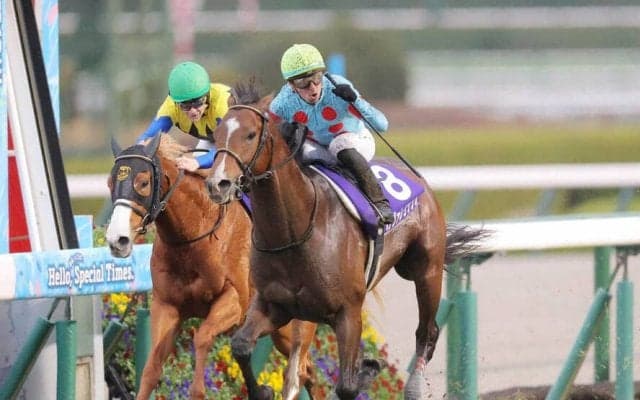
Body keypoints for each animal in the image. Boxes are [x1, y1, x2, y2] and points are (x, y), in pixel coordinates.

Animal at [105, 133, 318, 400]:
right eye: (109, 184)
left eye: (143, 182)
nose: (117, 240)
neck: (193, 236)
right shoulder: (166, 305)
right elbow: (151, 370)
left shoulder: (234, 301)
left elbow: (203, 337)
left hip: (293, 327)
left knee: (302, 370)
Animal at [204, 81, 486, 400]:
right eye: (216, 134)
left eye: (251, 134)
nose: (218, 184)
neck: (294, 232)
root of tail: (419, 179)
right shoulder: (274, 306)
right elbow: (240, 345)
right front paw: (262, 390)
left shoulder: (348, 312)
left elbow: (347, 386)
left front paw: (366, 372)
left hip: (426, 270)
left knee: (427, 330)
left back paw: (413, 385)